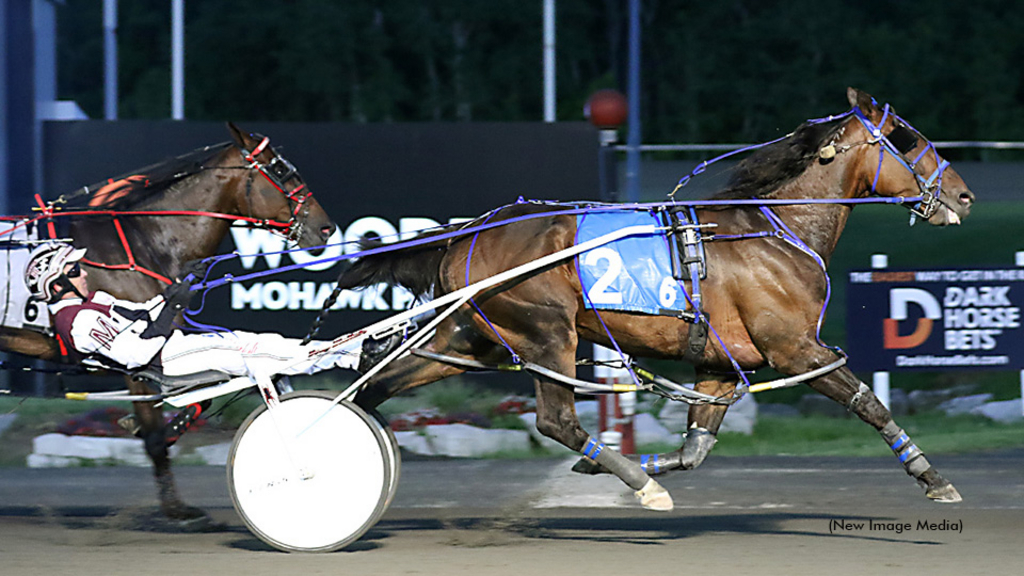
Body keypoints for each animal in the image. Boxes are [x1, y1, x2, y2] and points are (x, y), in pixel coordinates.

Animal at [0, 123, 335, 518]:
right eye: (281, 170)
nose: (326, 229)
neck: (142, 243)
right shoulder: (132, 357)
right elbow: (156, 429)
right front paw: (178, 509)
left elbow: (201, 396)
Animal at [337, 87, 974, 508]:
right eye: (906, 137)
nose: (964, 195)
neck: (777, 228)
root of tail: (469, 233)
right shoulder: (794, 349)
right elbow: (869, 402)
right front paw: (932, 477)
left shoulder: (721, 364)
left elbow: (696, 447)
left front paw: (623, 467)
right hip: (547, 333)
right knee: (555, 419)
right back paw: (642, 486)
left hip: (473, 338)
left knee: (377, 383)